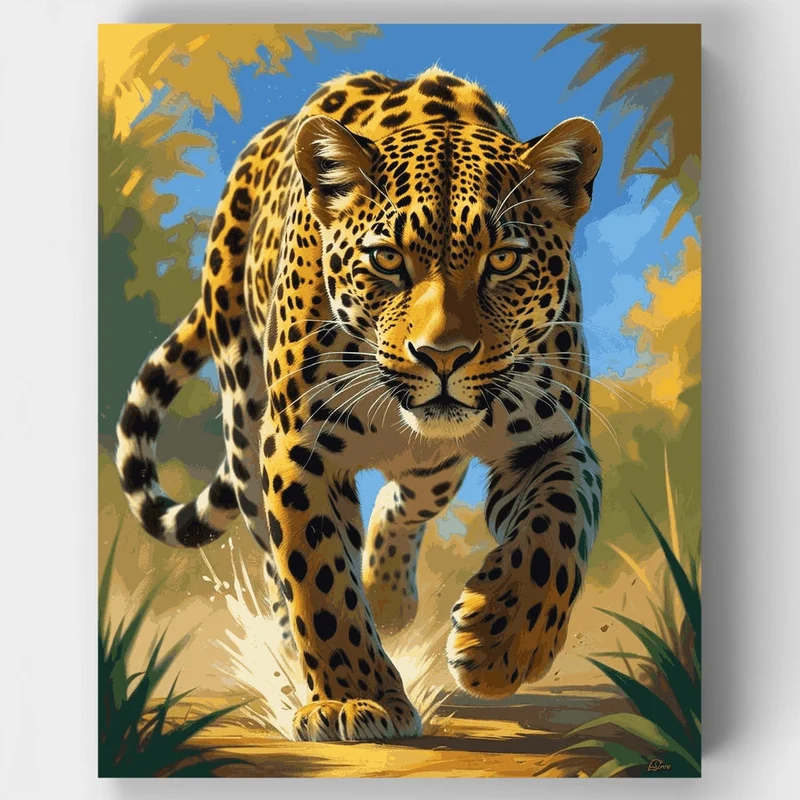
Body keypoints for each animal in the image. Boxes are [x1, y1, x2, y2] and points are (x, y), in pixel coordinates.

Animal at [115, 66, 604, 742]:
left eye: (504, 259)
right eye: (386, 259)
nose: (442, 356)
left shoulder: (553, 440)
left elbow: (554, 534)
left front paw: (501, 643)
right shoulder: (297, 448)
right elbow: (317, 575)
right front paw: (354, 699)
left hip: (433, 467)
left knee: (403, 502)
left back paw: (390, 597)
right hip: (245, 432)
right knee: (278, 563)